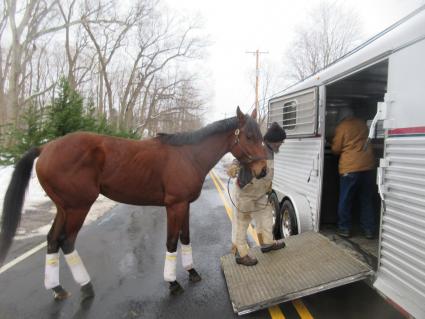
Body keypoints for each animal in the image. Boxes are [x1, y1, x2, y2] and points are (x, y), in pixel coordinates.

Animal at [0, 107, 264, 302]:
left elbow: (186, 237)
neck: (188, 155)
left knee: (53, 240)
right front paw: (173, 282)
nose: (262, 170)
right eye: (249, 136)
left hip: (64, 208)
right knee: (66, 241)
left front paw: (191, 271)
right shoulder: (175, 205)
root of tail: (46, 147)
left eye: (261, 136)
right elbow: (171, 241)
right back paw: (86, 287)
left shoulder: (185, 205)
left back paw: (57, 288)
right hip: (77, 208)